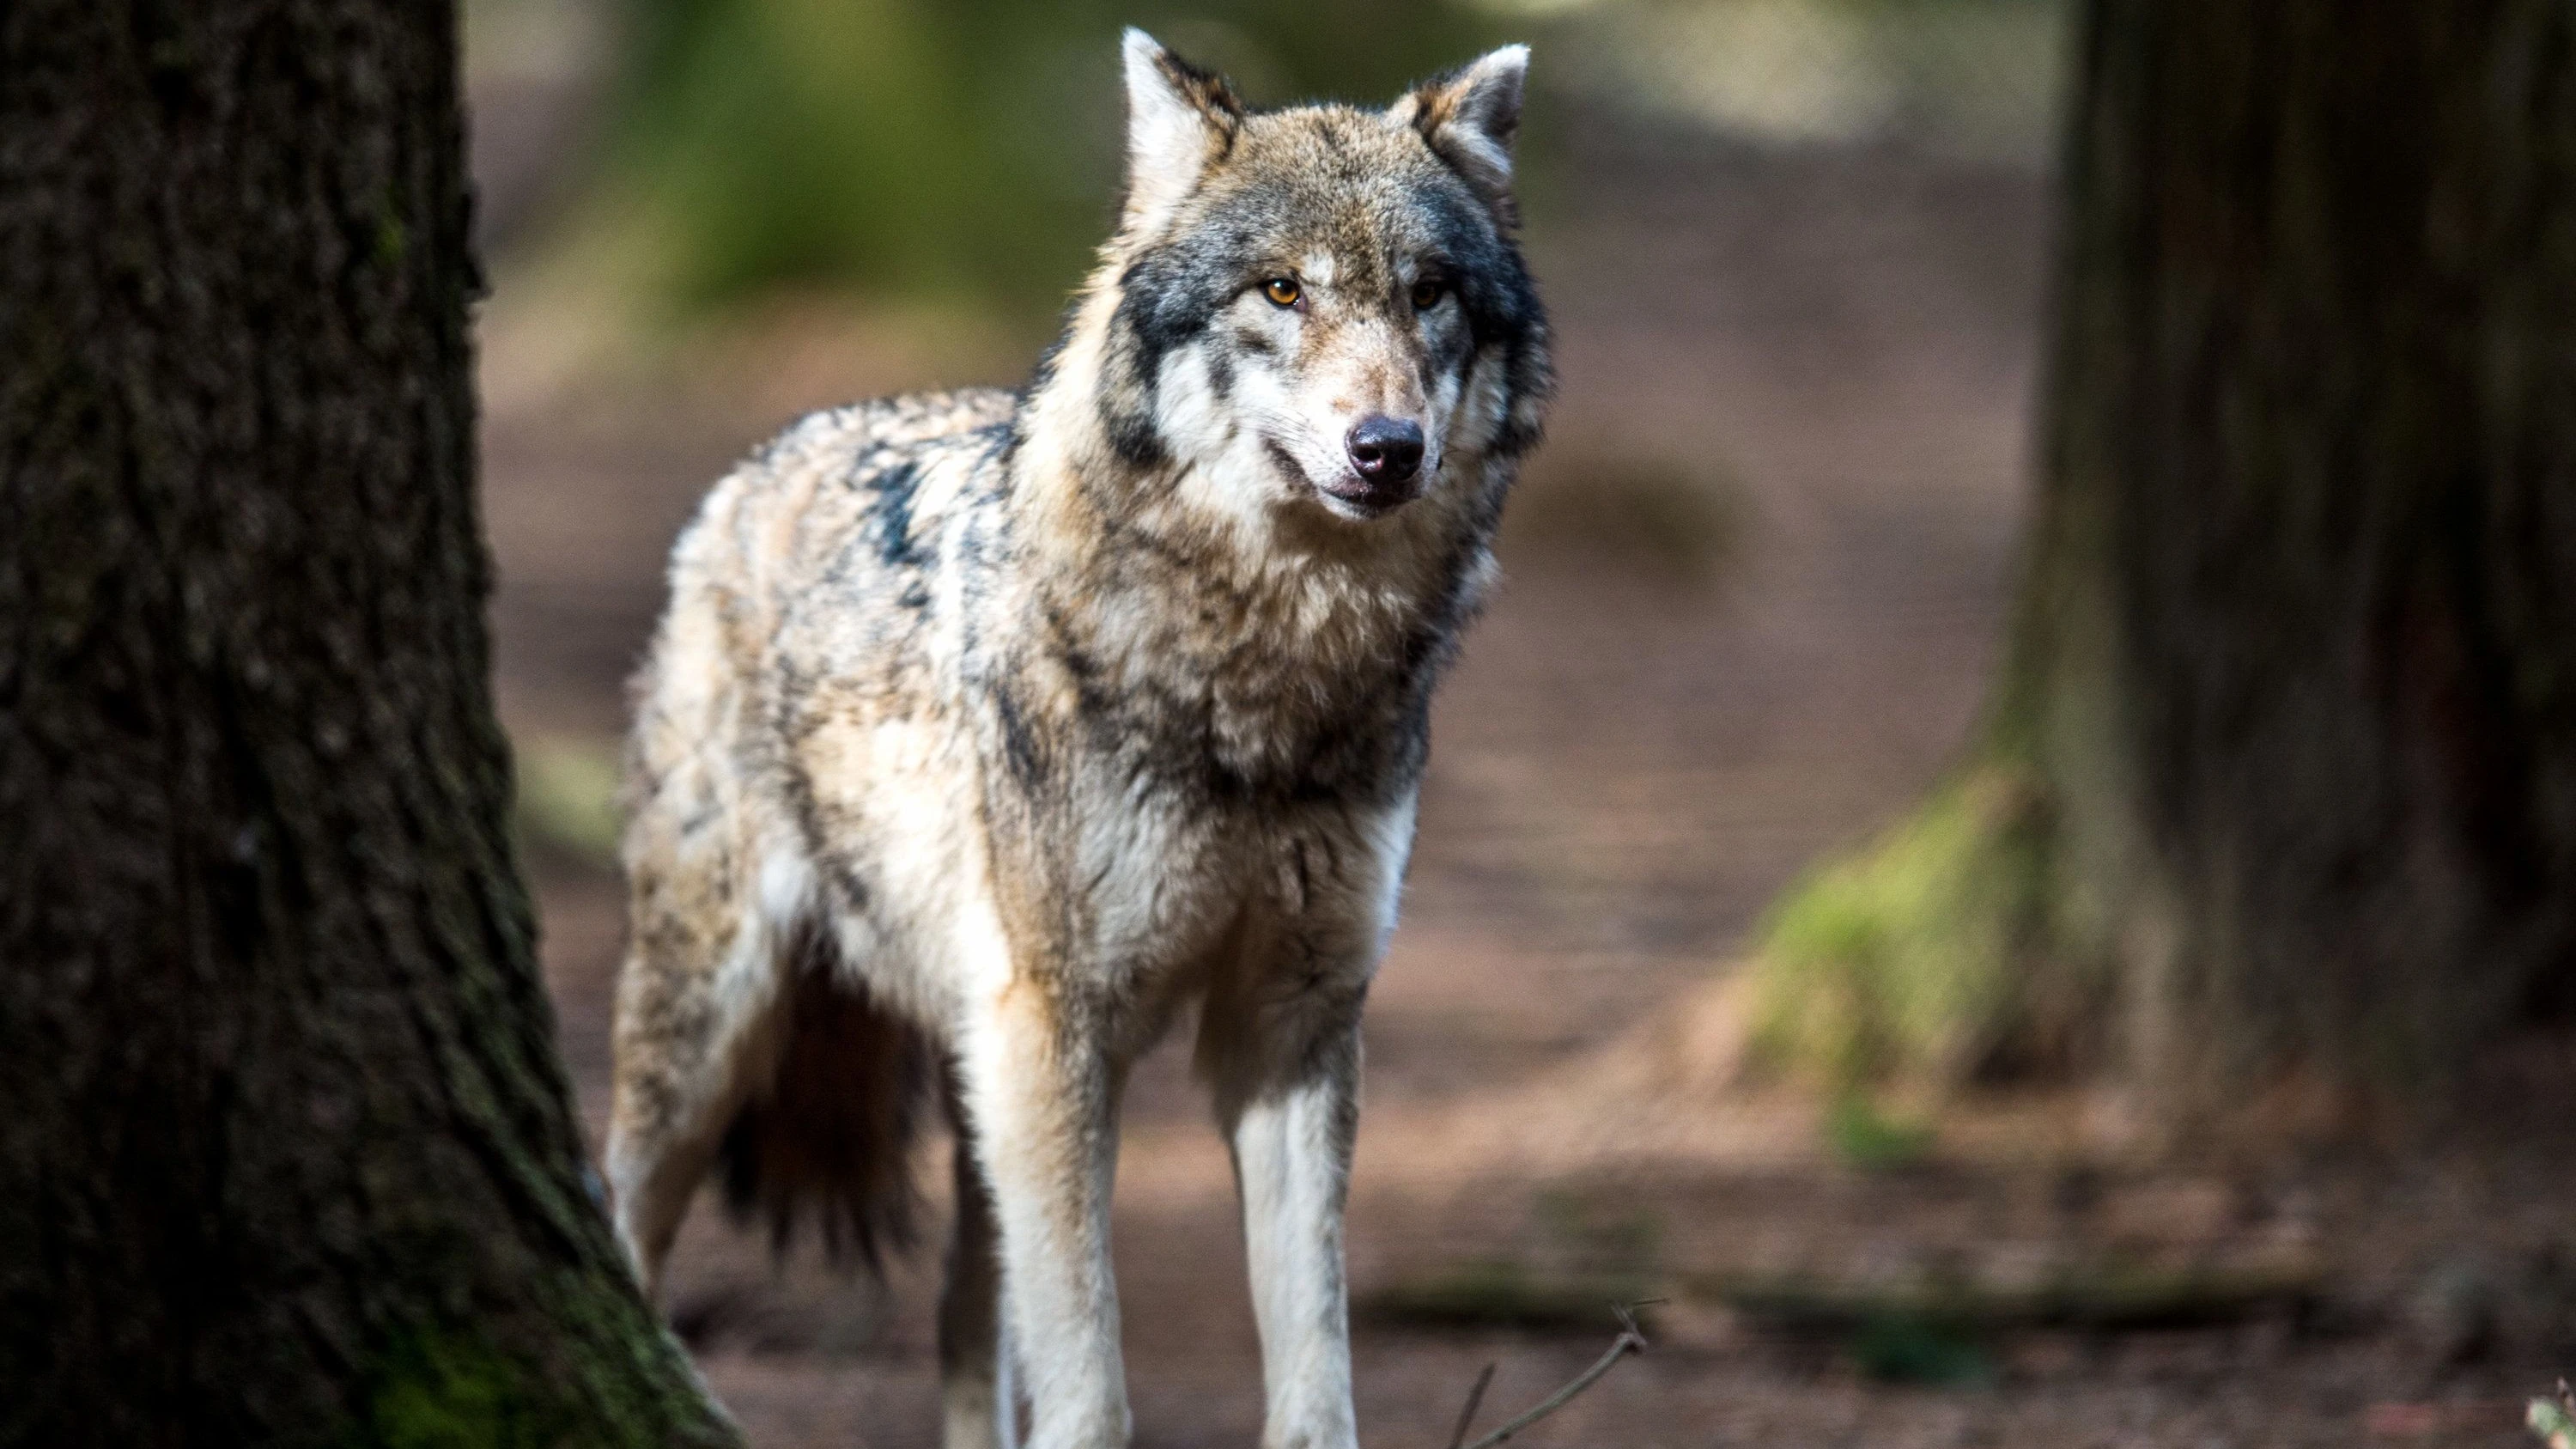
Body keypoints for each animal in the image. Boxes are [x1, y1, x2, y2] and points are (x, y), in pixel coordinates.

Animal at [604, 29, 1550, 1449]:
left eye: (1430, 293)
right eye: (1282, 290)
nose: (1387, 447)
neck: (1264, 684)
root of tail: (757, 463)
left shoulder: (1291, 1023)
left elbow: (1314, 1368)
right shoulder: (1061, 1024)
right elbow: (1092, 1382)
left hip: (977, 1073)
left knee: (959, 1319)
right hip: (722, 1027)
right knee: (622, 1226)